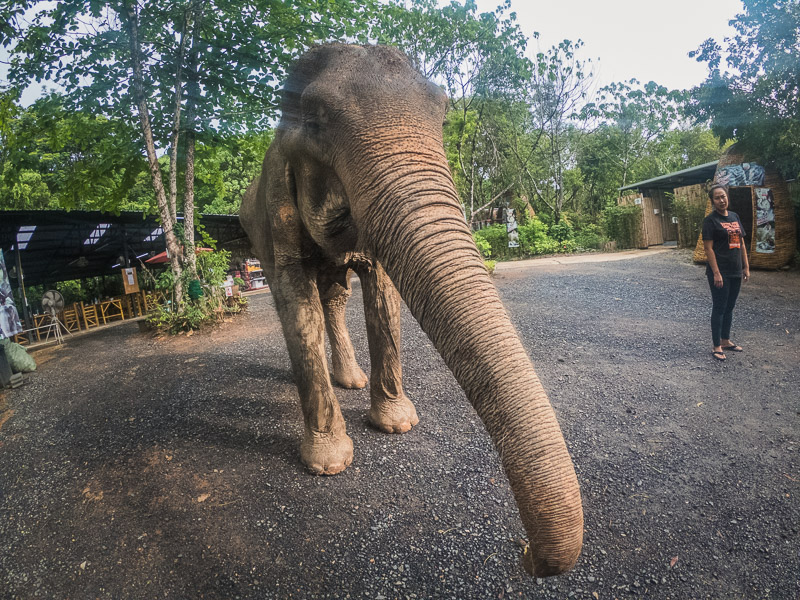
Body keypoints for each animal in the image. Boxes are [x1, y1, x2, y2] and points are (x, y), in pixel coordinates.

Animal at [238, 43, 580, 576]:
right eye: (315, 119)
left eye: (443, 111)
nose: (522, 550)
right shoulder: (277, 215)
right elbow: (295, 298)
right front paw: (329, 464)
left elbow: (381, 292)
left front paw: (397, 425)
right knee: (307, 299)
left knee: (335, 295)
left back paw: (351, 381)